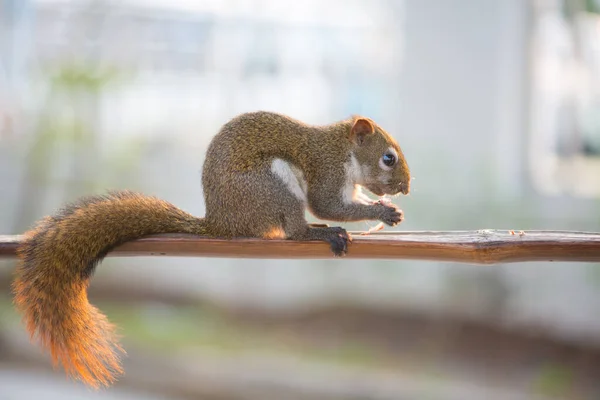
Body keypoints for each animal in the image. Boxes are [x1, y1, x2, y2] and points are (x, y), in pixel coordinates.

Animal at [14, 109, 410, 388]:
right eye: (388, 158)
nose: (406, 186)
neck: (343, 150)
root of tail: (221, 222)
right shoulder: (326, 172)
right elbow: (328, 205)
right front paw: (382, 211)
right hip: (270, 185)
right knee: (293, 230)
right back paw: (317, 233)